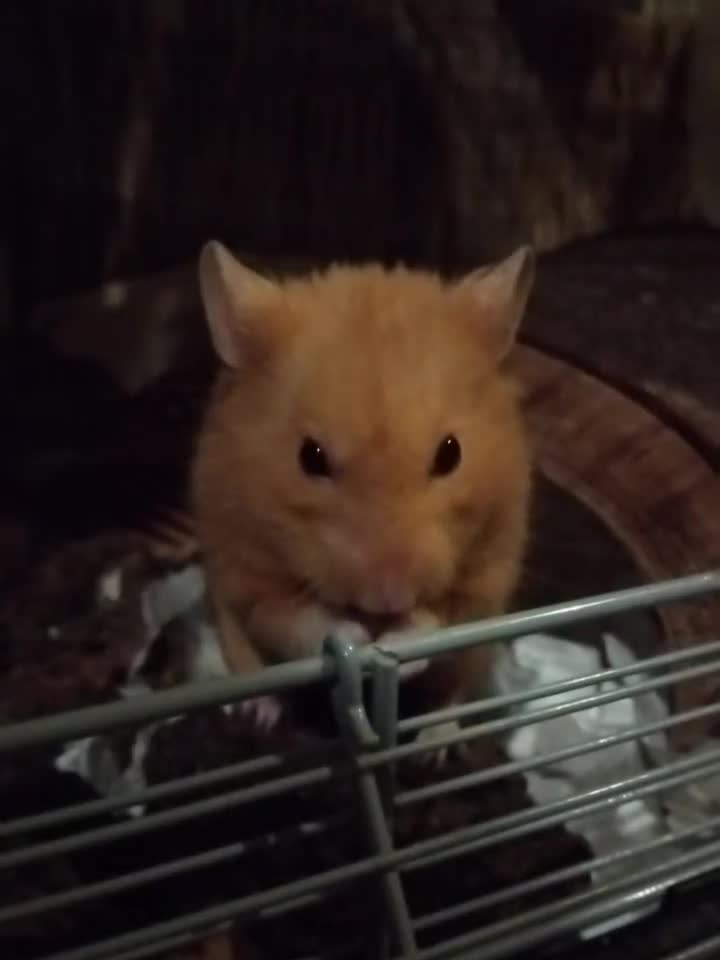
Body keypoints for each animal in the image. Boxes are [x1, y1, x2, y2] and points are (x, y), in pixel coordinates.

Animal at [191, 241, 534, 751]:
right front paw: (357, 637)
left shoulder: (486, 581)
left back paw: (435, 744)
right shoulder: (249, 580)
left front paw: (394, 643)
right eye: (309, 457)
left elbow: (439, 621)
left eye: (451, 453)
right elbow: (302, 621)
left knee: (453, 691)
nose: (388, 599)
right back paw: (260, 714)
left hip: (476, 657)